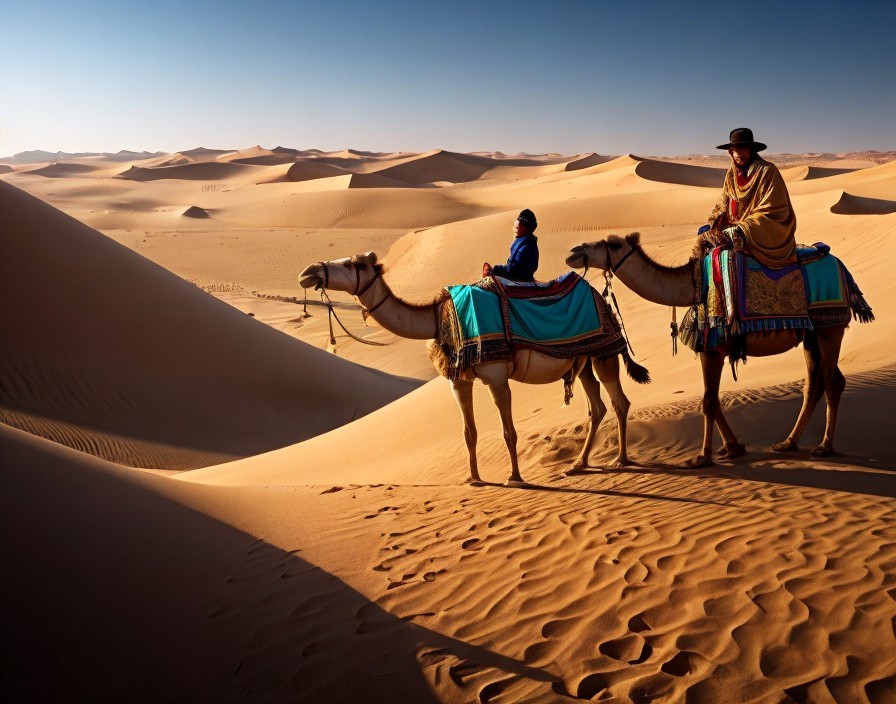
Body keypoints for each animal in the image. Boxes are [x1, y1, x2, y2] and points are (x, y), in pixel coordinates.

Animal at [299, 253, 649, 485]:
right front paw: (474, 478)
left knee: (619, 401)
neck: (438, 317)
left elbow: (509, 431)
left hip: (603, 353)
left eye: (352, 264)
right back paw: (578, 464)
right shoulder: (460, 380)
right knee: (596, 406)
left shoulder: (496, 376)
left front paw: (515, 477)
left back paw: (620, 460)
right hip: (583, 359)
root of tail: (602, 299)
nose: (309, 272)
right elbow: (469, 432)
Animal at [566, 233, 869, 468]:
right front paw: (733, 448)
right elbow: (711, 399)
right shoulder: (709, 349)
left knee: (832, 382)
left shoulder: (712, 349)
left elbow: (708, 402)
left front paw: (702, 457)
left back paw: (824, 447)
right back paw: (788, 443)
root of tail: (842, 268)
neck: (692, 286)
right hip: (812, 335)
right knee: (816, 383)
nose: (574, 251)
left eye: (614, 244)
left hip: (830, 328)